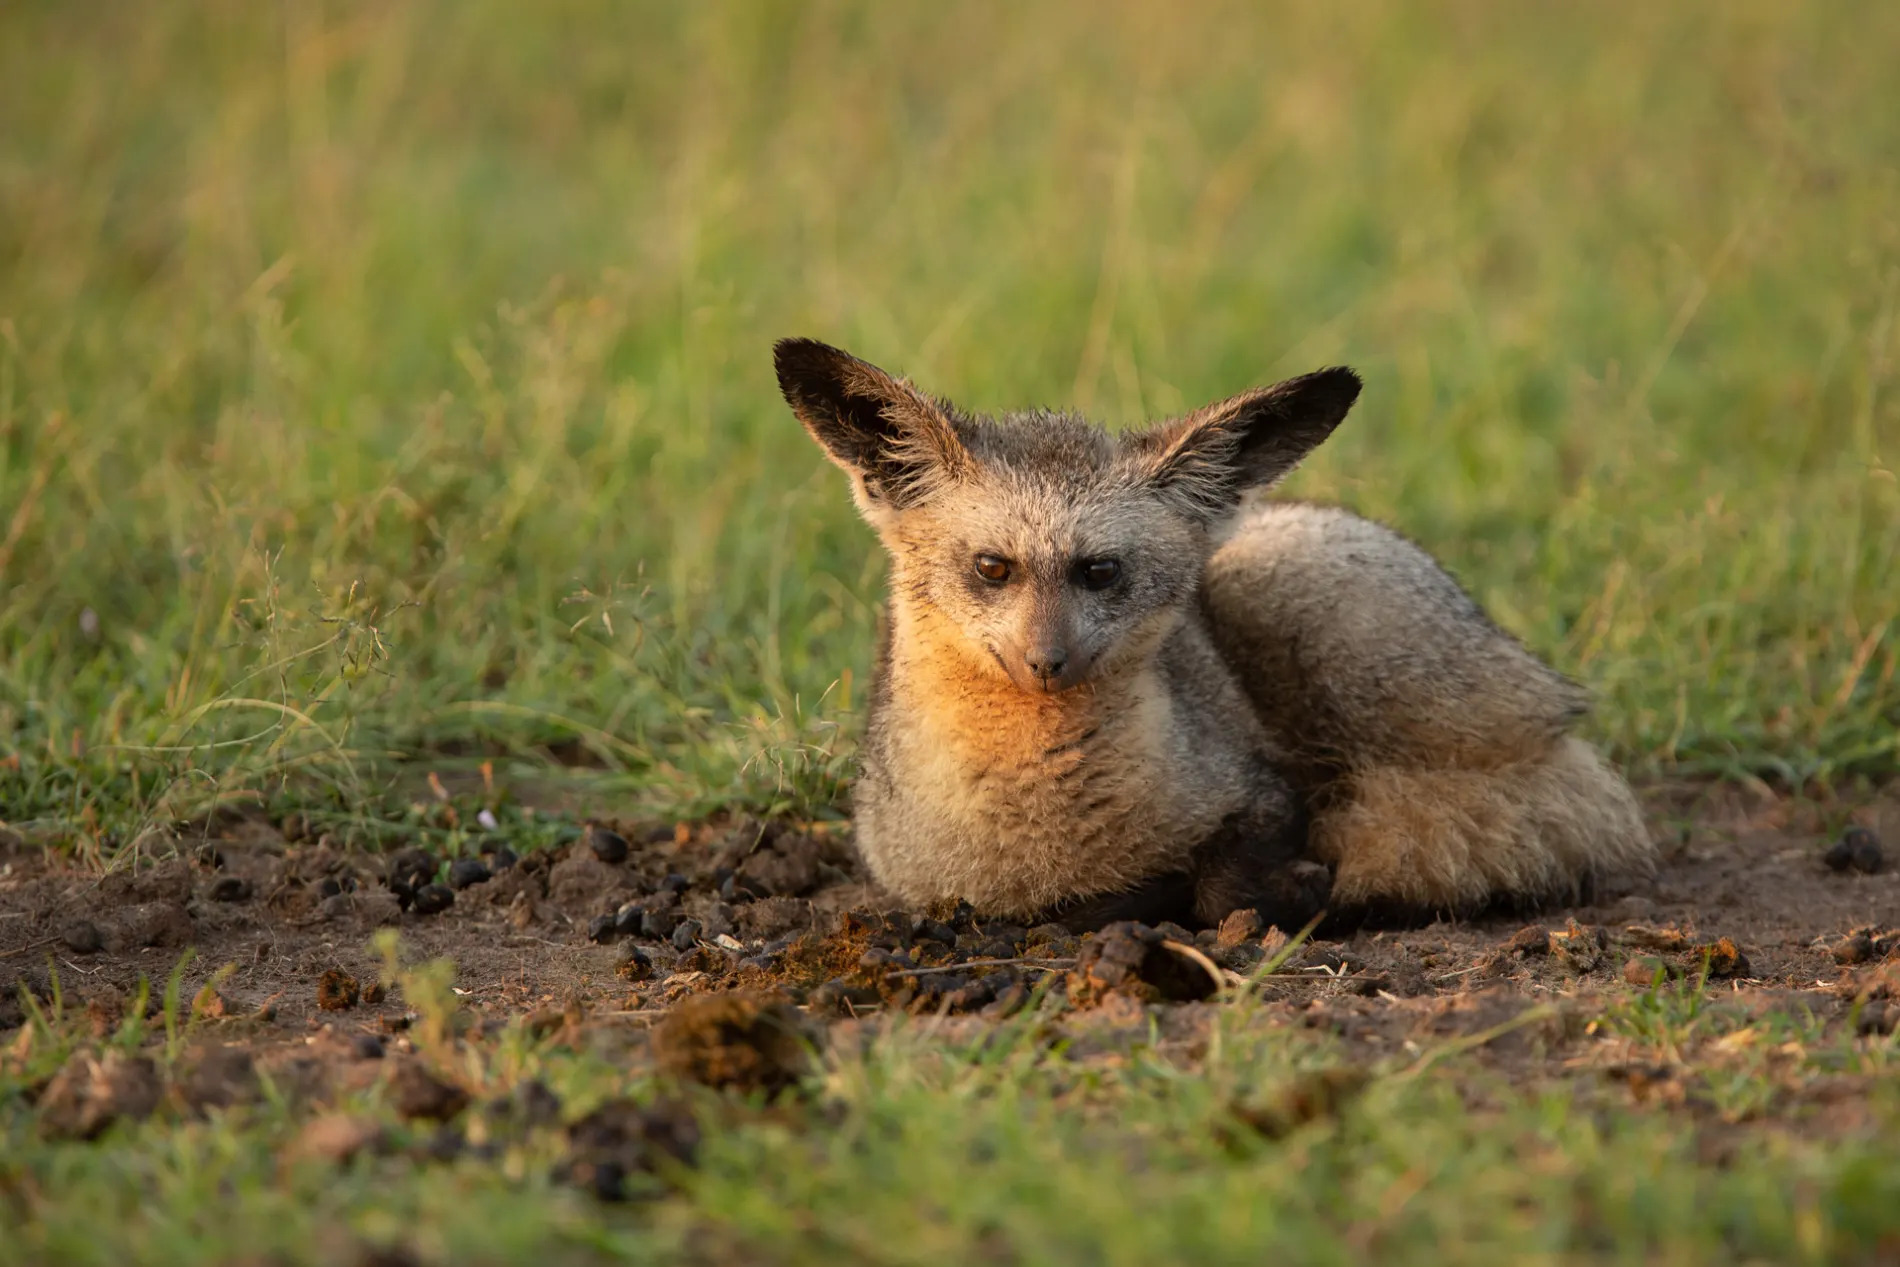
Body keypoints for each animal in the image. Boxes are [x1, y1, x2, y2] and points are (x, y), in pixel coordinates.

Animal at [779, 336, 1656, 930]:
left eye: (1102, 571)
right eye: (992, 568)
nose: (1046, 660)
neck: (1038, 827)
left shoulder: (1264, 791)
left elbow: (1219, 885)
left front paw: (1276, 892)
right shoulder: (921, 881)